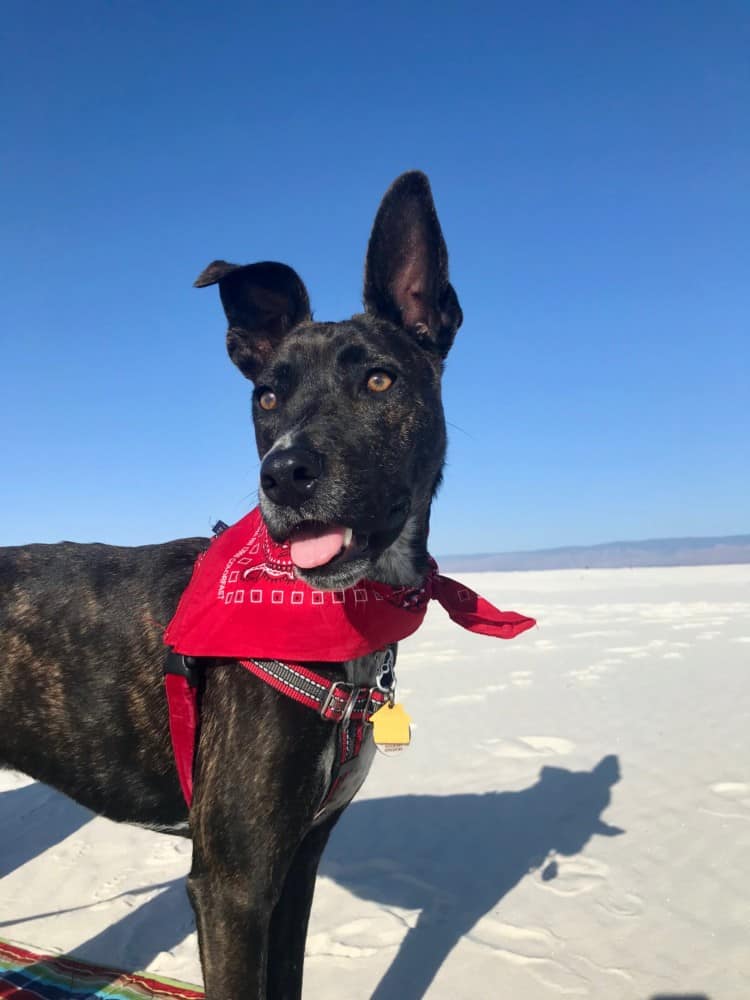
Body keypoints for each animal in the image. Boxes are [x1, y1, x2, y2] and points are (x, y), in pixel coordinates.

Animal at [1, 172, 464, 1000]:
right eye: (267, 397)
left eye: (379, 379)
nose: (285, 474)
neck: (337, 615)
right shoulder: (232, 885)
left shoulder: (298, 862)